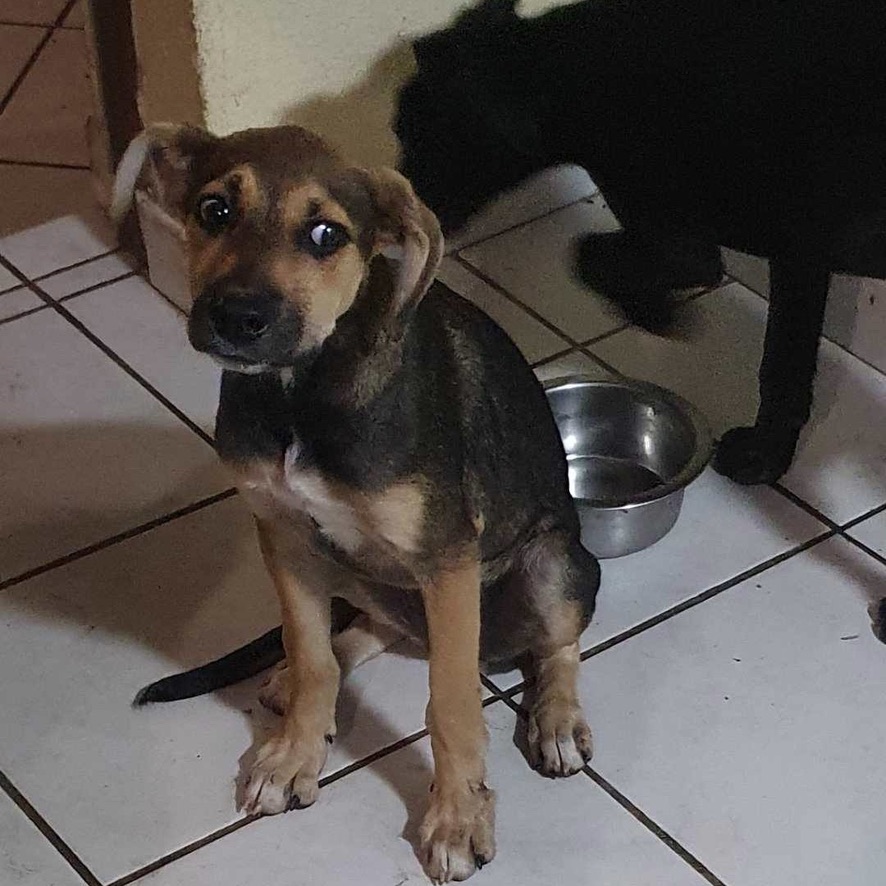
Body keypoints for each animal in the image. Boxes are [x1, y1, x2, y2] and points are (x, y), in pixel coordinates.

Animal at [109, 123, 596, 880]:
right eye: (215, 210)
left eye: (325, 234)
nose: (238, 317)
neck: (300, 391)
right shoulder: (282, 534)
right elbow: (312, 654)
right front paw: (293, 754)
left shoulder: (446, 558)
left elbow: (450, 704)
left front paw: (456, 819)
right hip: (347, 564)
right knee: (374, 628)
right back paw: (295, 677)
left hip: (553, 564)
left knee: (559, 644)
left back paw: (557, 719)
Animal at [398, 0, 886, 486]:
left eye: (422, 137)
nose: (410, 218)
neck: (576, 71)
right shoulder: (785, 257)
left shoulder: (703, 246)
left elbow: (589, 255)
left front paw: (653, 313)